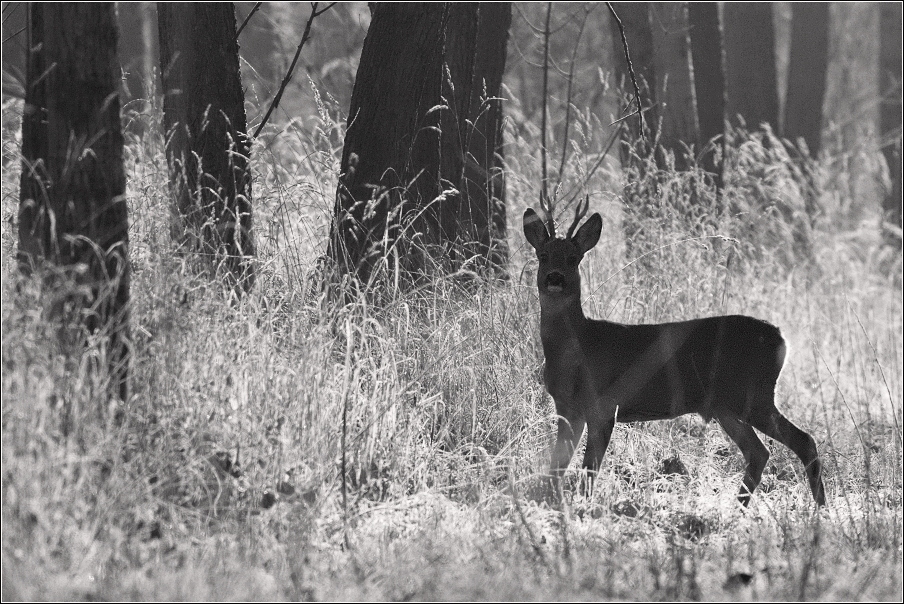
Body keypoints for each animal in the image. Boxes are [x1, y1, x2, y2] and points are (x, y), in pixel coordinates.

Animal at [524, 197, 828, 504]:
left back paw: (819, 509)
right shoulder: (568, 407)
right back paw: (739, 507)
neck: (577, 348)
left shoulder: (604, 404)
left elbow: (589, 469)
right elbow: (558, 465)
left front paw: (583, 507)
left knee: (804, 441)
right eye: (543, 256)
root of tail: (781, 338)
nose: (554, 278)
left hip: (753, 395)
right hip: (726, 406)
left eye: (573, 258)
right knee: (759, 452)